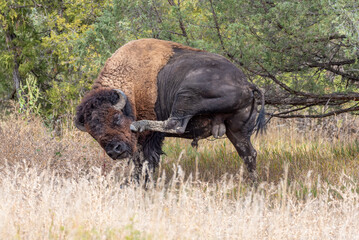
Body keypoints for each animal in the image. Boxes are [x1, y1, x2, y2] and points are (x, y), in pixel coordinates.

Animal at [76, 39, 266, 182]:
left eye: (116, 117)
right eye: (93, 133)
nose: (114, 150)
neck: (132, 84)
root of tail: (246, 83)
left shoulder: (147, 140)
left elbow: (145, 162)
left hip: (186, 94)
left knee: (176, 124)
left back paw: (139, 124)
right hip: (237, 130)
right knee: (249, 154)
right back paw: (253, 184)